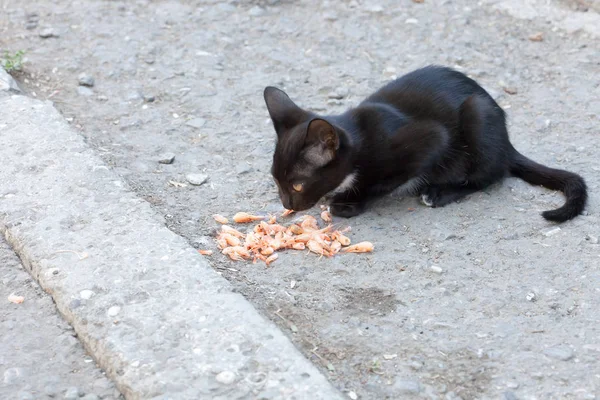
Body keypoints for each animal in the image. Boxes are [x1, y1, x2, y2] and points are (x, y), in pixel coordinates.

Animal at [262, 65, 584, 222]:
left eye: (298, 186)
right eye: (276, 181)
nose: (286, 204)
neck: (360, 139)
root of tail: (508, 144)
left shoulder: (429, 140)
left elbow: (381, 182)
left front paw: (350, 201)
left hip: (477, 113)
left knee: (488, 176)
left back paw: (440, 192)